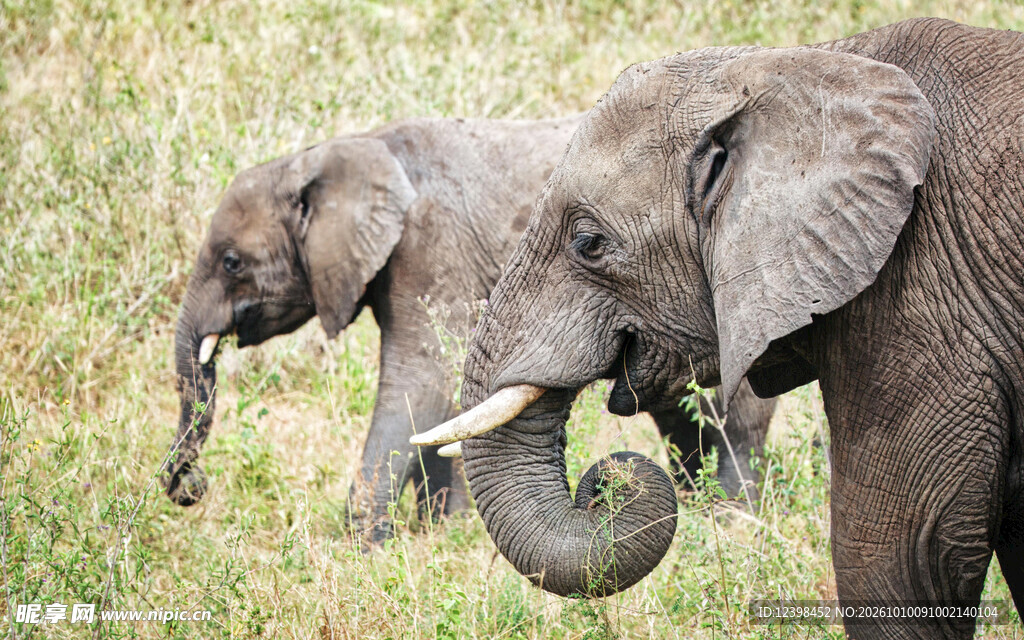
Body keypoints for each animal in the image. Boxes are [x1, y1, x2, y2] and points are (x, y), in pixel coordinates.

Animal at [162, 115, 777, 543]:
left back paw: (733, 521)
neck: (350, 149)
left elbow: (423, 384)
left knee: (731, 414)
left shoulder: (433, 247)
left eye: (231, 263)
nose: (191, 488)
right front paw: (440, 530)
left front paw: (363, 546)